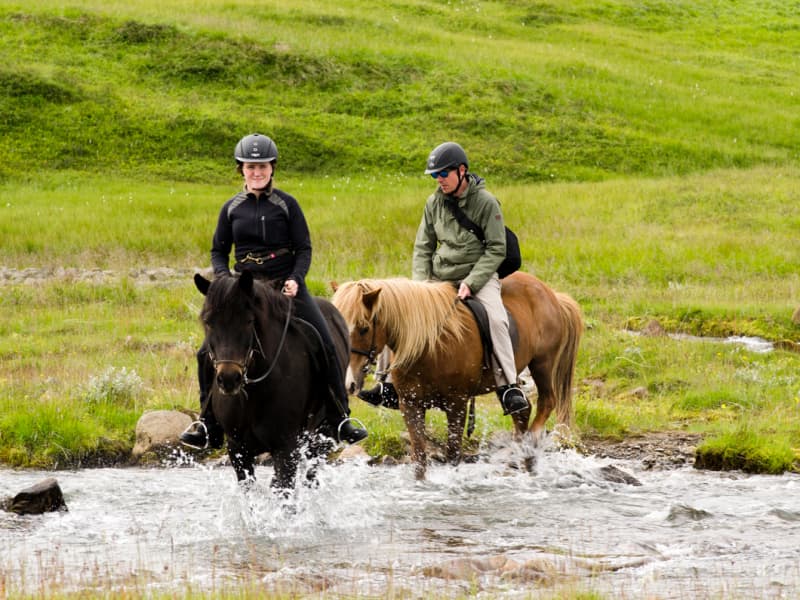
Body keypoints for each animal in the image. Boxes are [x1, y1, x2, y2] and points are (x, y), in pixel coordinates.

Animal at [195, 272, 348, 488]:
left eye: (249, 321)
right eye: (209, 322)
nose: (229, 379)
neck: (254, 393)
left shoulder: (285, 448)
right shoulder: (237, 449)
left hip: (321, 437)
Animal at [332, 274, 580, 480]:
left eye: (364, 328)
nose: (348, 383)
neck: (429, 345)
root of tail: (551, 294)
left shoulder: (457, 404)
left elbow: (452, 455)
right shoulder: (410, 404)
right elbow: (419, 456)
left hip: (542, 363)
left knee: (547, 402)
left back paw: (531, 445)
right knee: (522, 409)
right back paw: (522, 459)